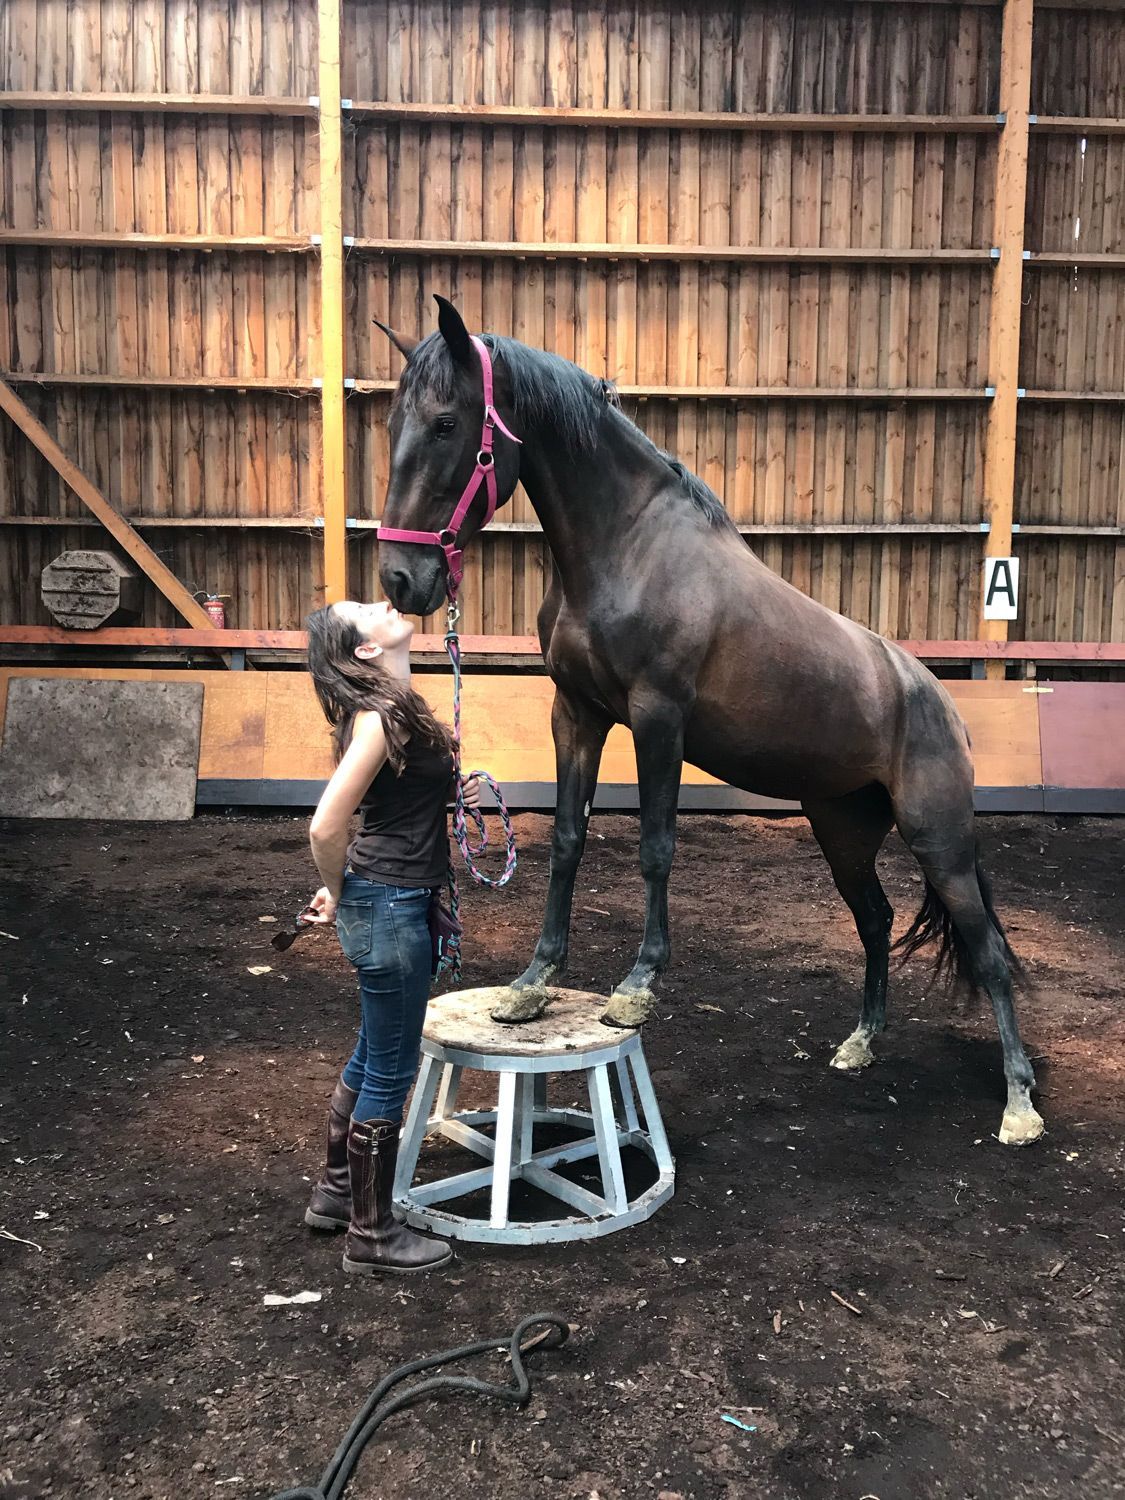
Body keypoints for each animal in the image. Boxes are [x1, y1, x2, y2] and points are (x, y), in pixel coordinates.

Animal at [373, 295, 1044, 1148]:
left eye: (447, 423)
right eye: (395, 422)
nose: (401, 578)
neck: (625, 547)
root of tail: (935, 700)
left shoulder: (657, 718)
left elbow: (656, 849)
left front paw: (636, 985)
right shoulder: (576, 715)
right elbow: (566, 841)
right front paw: (533, 982)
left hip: (939, 839)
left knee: (986, 951)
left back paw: (1019, 1103)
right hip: (843, 832)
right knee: (874, 921)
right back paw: (860, 1044)